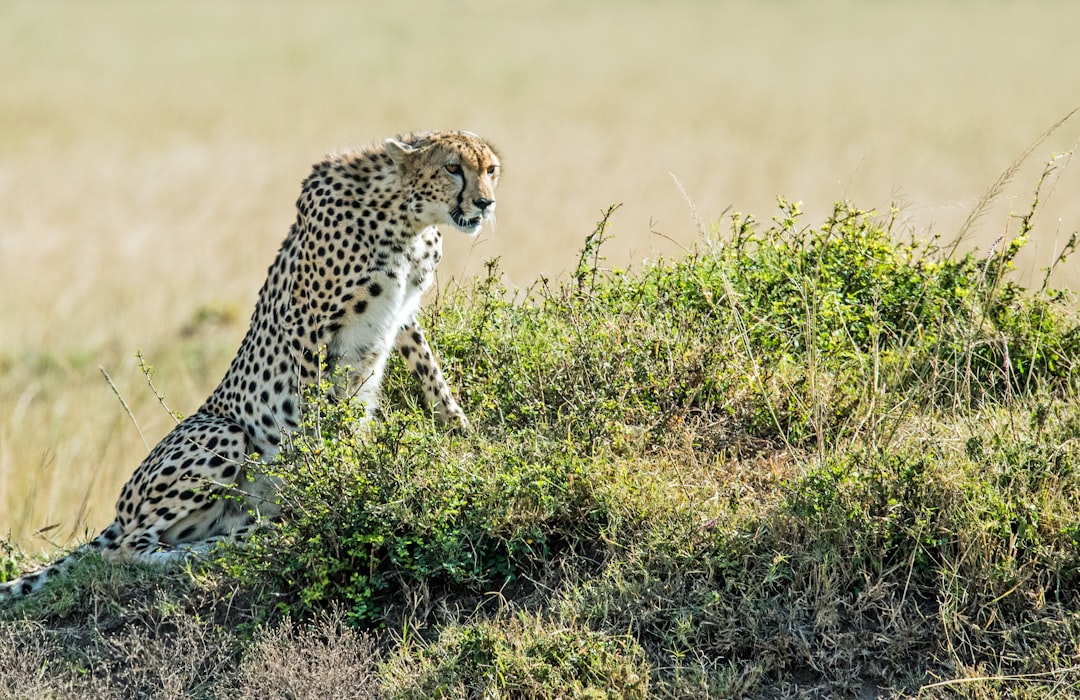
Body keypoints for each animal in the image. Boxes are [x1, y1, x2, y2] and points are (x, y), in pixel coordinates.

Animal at [1, 128, 501, 600]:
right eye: (453, 167)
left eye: (490, 169)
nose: (485, 202)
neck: (407, 216)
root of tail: (120, 514)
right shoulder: (306, 323)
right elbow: (314, 414)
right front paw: (327, 479)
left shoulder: (404, 313)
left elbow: (432, 375)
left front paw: (465, 435)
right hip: (222, 433)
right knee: (127, 550)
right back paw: (213, 550)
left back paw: (247, 533)